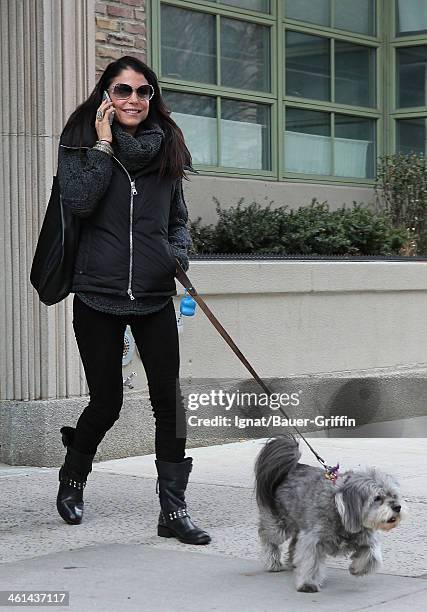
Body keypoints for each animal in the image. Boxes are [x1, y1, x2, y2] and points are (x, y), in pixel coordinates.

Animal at [256, 438, 406, 592]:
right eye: (377, 498)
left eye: (394, 495)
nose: (397, 507)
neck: (340, 512)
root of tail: (291, 468)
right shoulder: (313, 539)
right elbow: (311, 561)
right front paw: (308, 583)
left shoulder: (365, 537)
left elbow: (373, 556)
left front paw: (357, 568)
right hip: (280, 524)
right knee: (267, 537)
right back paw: (272, 562)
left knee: (293, 544)